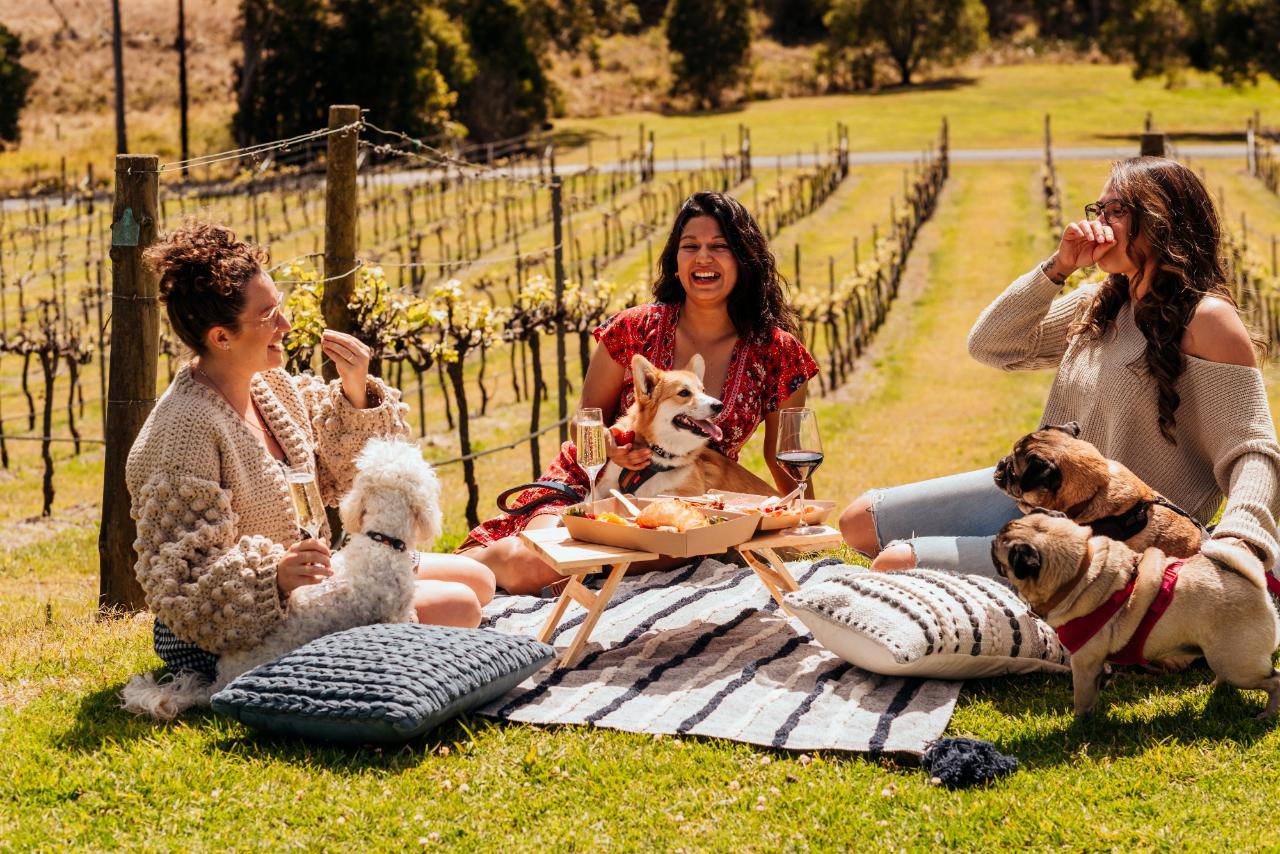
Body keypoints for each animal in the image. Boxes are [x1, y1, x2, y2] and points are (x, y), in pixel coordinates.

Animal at [591, 355, 778, 501]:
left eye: (703, 390)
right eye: (684, 393)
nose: (719, 406)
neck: (658, 453)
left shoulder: (684, 492)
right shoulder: (605, 486)